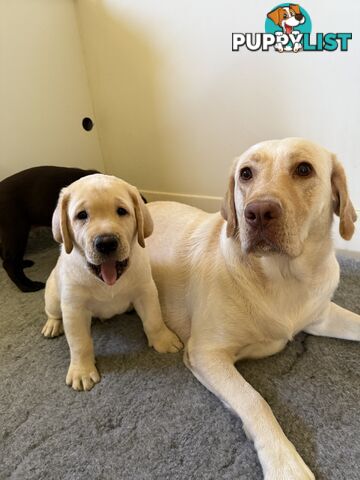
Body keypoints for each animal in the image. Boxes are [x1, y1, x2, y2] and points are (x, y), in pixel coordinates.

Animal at [42, 174, 183, 392]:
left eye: (122, 211)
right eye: (82, 215)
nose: (106, 243)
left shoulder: (146, 291)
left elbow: (154, 319)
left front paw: (163, 340)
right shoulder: (74, 308)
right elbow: (79, 342)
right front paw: (82, 371)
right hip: (52, 297)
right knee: (53, 312)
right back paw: (52, 325)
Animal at [146, 139, 358, 480]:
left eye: (304, 169)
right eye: (245, 173)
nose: (258, 213)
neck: (284, 276)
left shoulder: (321, 316)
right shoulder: (206, 353)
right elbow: (254, 400)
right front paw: (285, 463)